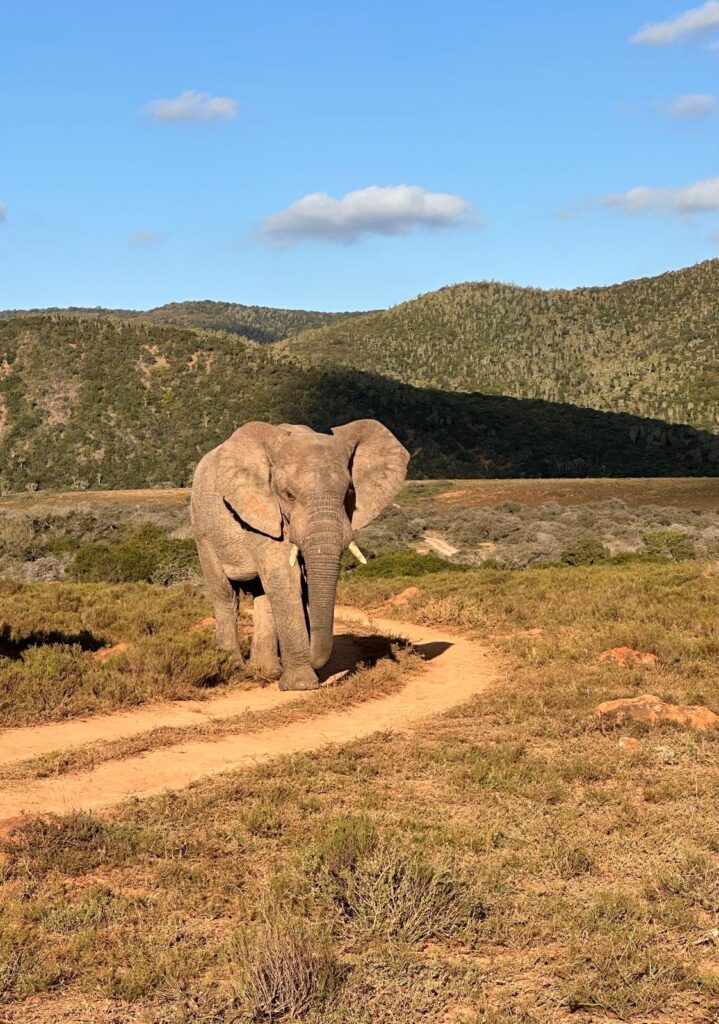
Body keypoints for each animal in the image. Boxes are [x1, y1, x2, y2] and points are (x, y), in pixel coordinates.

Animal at [190, 419, 411, 692]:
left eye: (349, 493)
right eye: (288, 495)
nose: (315, 660)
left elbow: (295, 583)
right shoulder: (261, 511)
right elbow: (286, 578)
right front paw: (302, 686)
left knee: (262, 595)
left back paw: (266, 673)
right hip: (202, 529)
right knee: (225, 595)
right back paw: (233, 669)